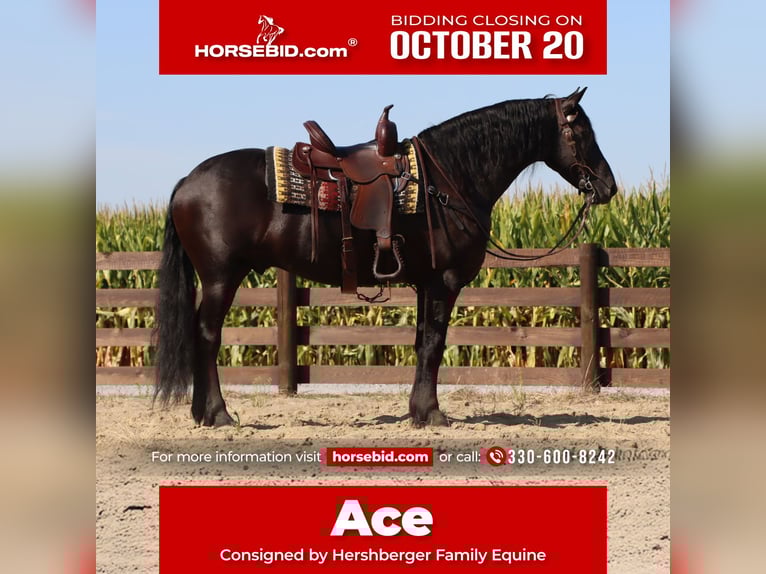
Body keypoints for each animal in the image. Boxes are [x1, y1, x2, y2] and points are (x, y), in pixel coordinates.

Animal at [153, 87, 617, 427]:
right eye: (581, 134)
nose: (608, 187)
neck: (448, 177)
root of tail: (187, 181)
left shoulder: (426, 283)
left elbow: (421, 342)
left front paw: (418, 410)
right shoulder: (444, 282)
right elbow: (433, 343)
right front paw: (431, 413)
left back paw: (201, 413)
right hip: (221, 277)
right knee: (207, 336)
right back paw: (218, 414)